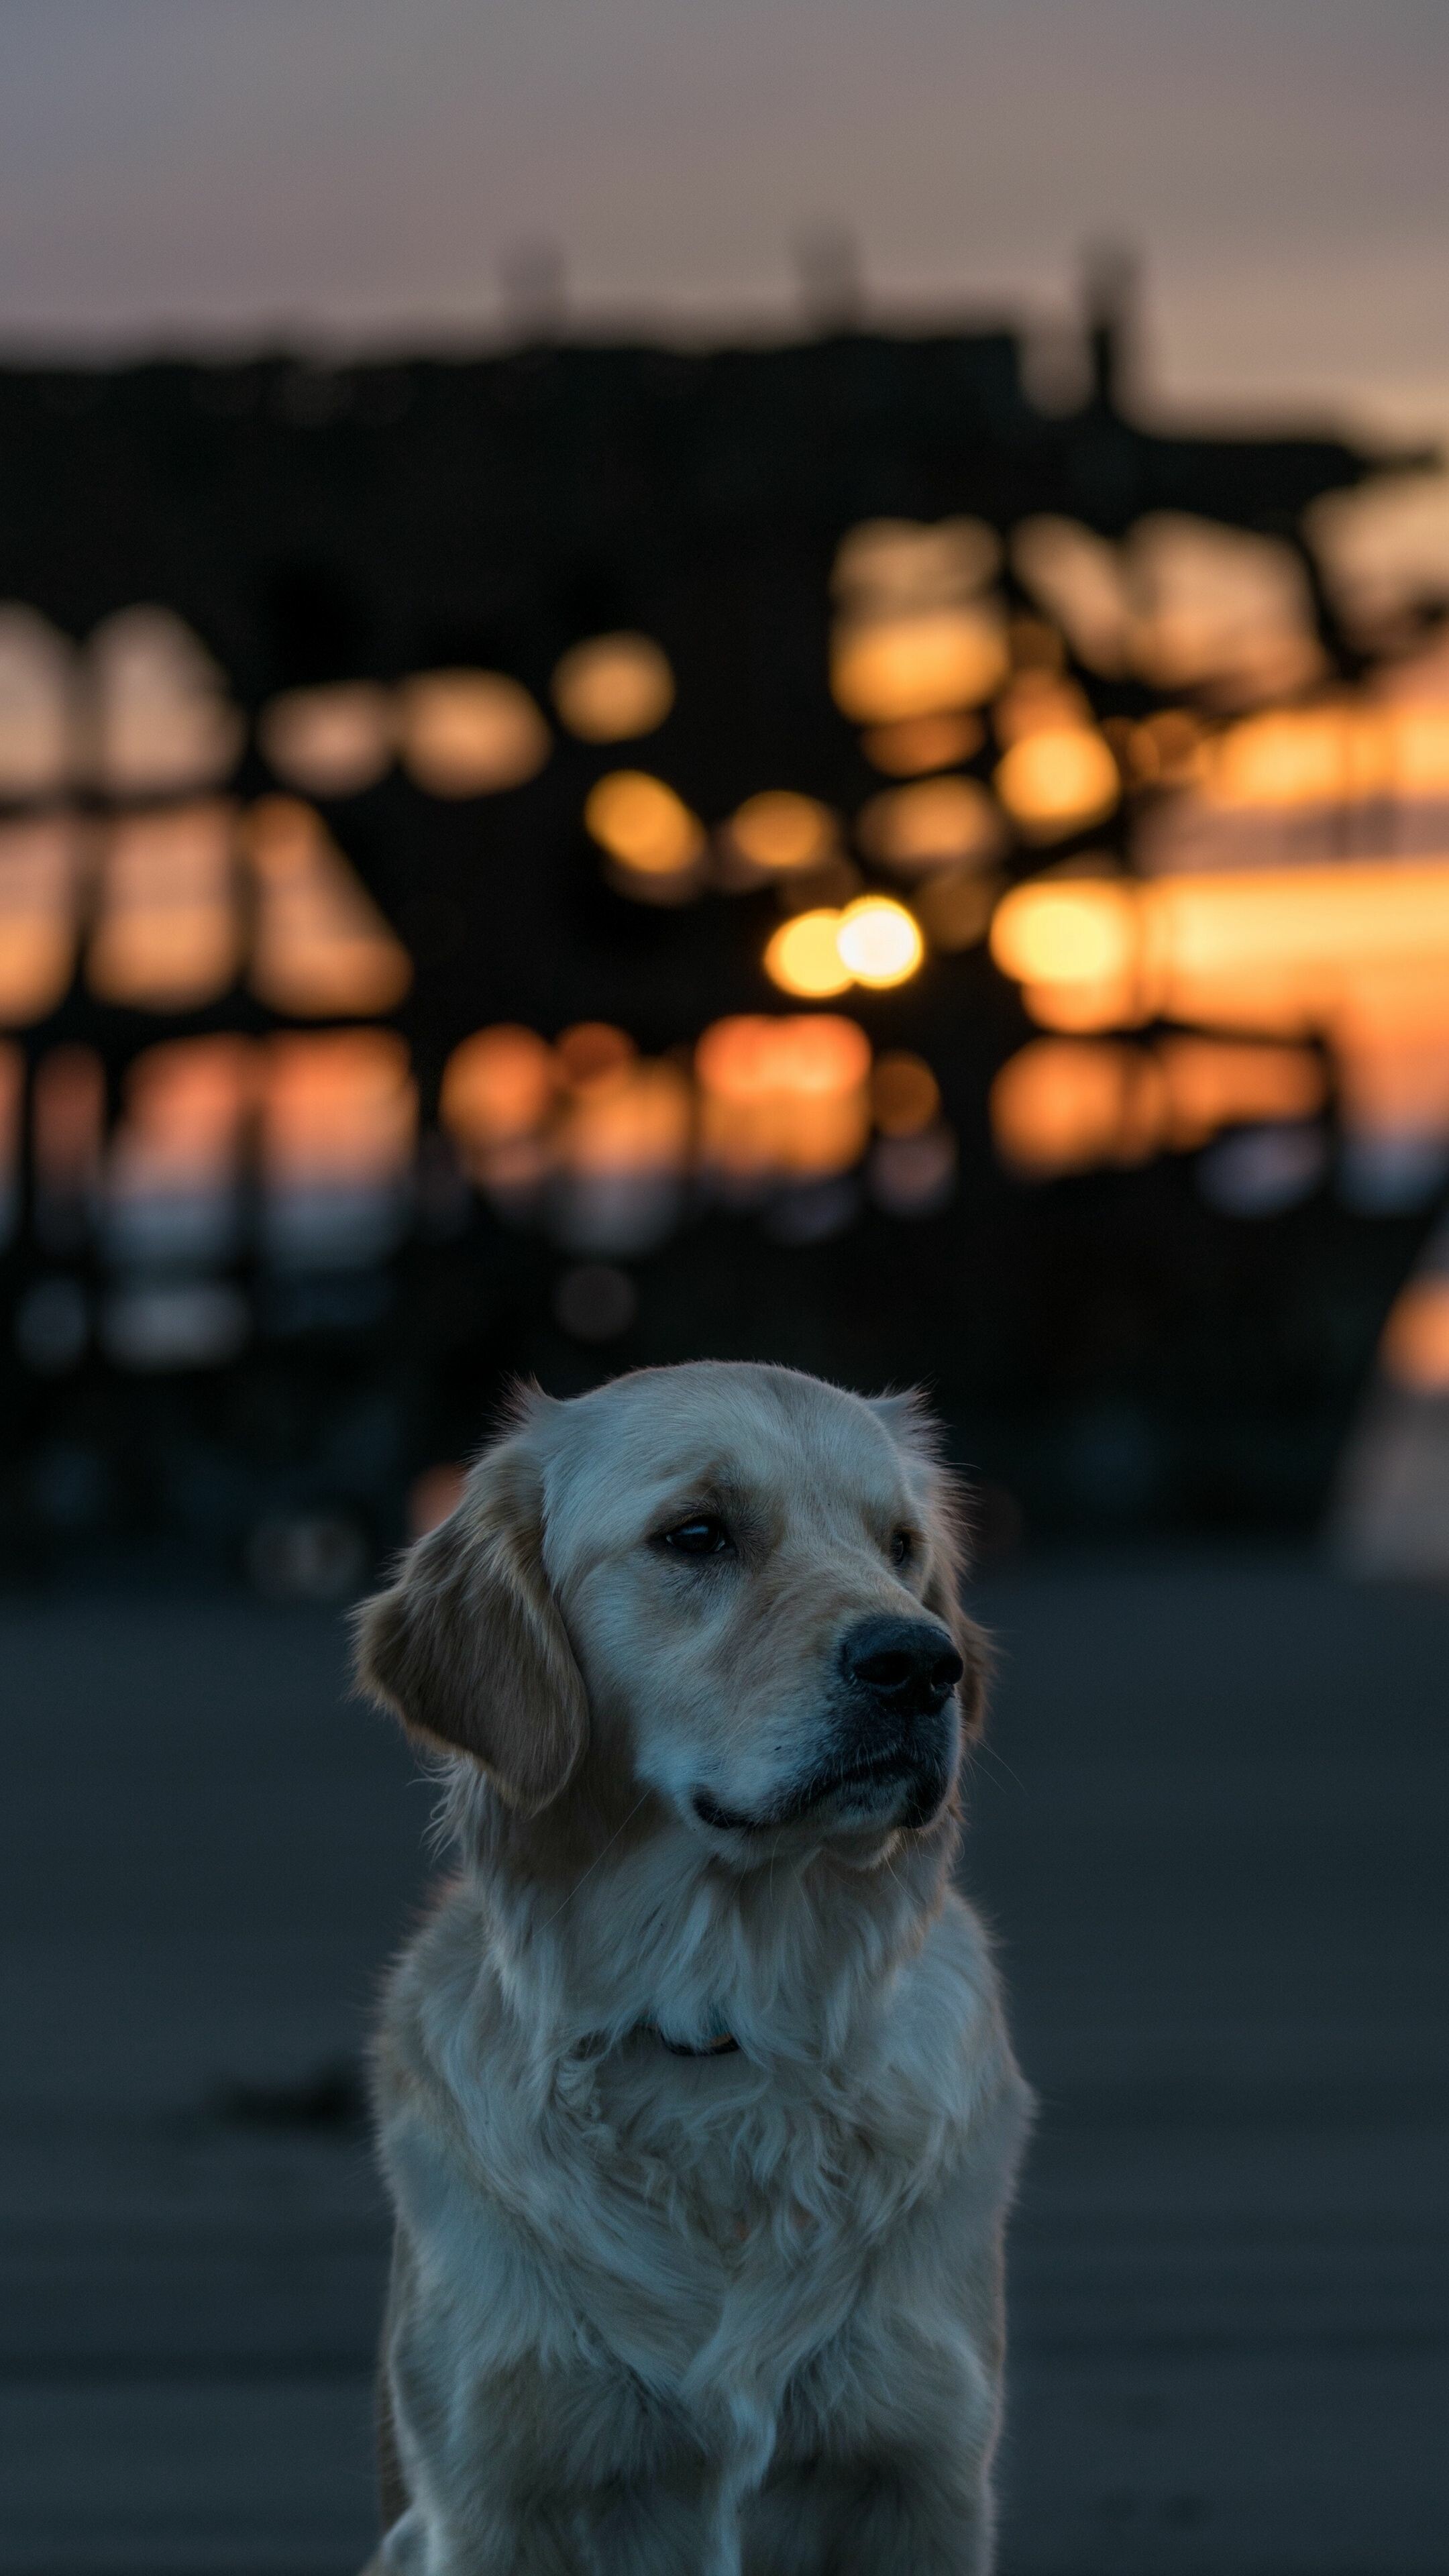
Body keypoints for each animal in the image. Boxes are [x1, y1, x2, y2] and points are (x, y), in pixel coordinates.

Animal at [353, 1360, 1026, 2565]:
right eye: (698, 1535)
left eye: (900, 1545)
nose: (921, 1663)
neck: (722, 2026)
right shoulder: (489, 2497)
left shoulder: (927, 2477)